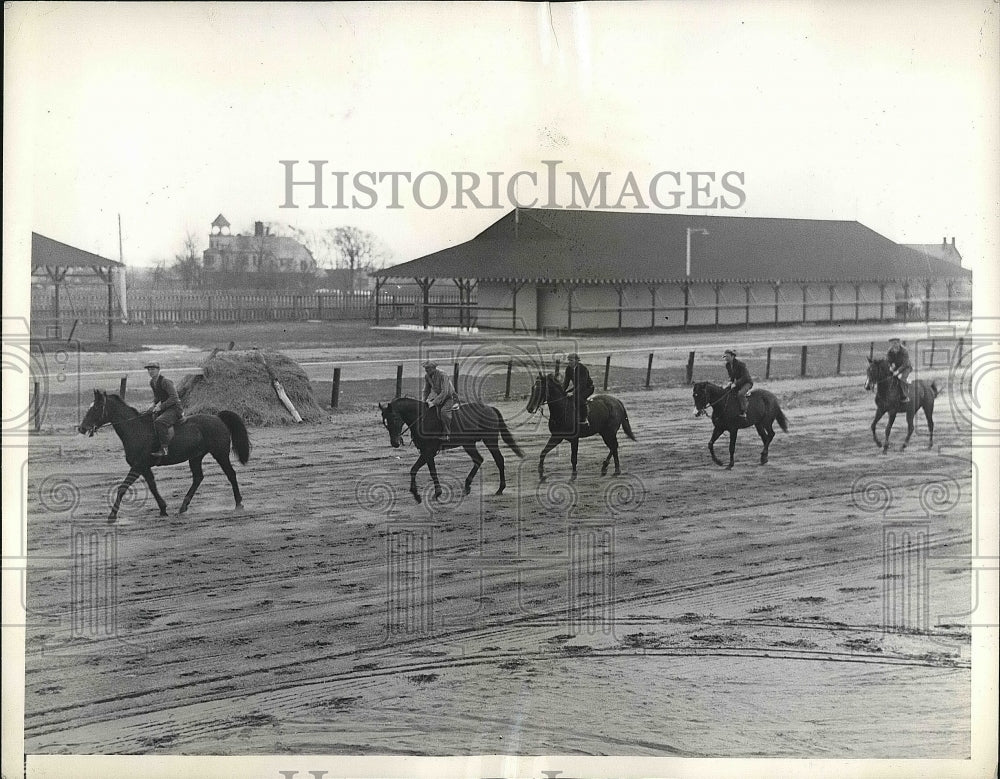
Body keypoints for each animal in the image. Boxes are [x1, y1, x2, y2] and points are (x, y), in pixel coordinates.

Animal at [79, 390, 252, 524]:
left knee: (230, 474)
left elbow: (122, 488)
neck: (135, 429)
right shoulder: (144, 467)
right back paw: (183, 507)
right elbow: (152, 486)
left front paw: (112, 516)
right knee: (198, 478)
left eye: (96, 408)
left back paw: (238, 504)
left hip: (220, 454)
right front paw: (163, 509)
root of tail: (217, 418)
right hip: (195, 457)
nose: (82, 428)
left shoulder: (137, 466)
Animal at [380, 396, 524, 506]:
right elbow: (426, 470)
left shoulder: (428, 451)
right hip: (469, 444)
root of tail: (490, 408)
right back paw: (467, 486)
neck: (422, 419)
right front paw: (430, 493)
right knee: (478, 459)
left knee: (499, 460)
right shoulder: (426, 453)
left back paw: (500, 488)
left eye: (395, 418)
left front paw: (422, 494)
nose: (395, 443)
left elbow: (419, 470)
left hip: (490, 441)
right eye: (385, 421)